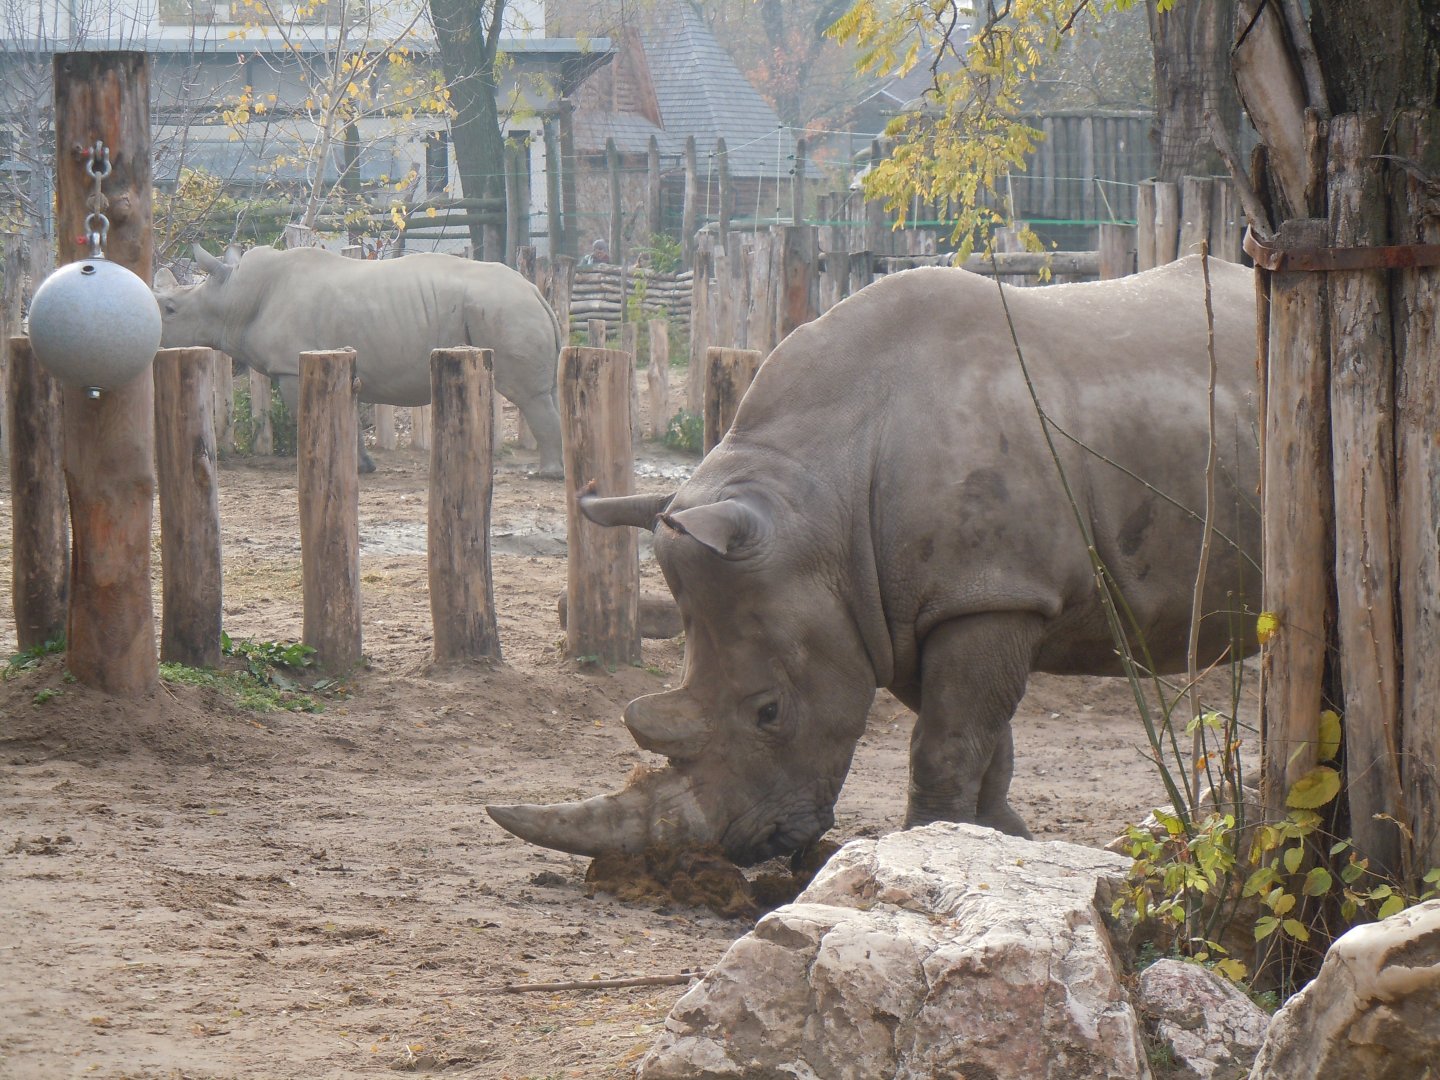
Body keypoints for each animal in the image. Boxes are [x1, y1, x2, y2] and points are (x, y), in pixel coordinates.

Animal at [155, 245, 565, 477]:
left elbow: (305, 415)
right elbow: (348, 418)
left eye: (170, 309)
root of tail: (535, 290)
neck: (233, 297)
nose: (155, 336)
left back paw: (546, 475)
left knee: (528, 395)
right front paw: (363, 468)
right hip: (510, 308)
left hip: (504, 309)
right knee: (548, 392)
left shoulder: (290, 367)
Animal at [488, 255, 1261, 866]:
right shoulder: (904, 610)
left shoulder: (992, 593)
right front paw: (1005, 841)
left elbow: (947, 743)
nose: (741, 848)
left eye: (769, 712)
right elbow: (986, 741)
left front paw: (932, 847)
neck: (822, 499)